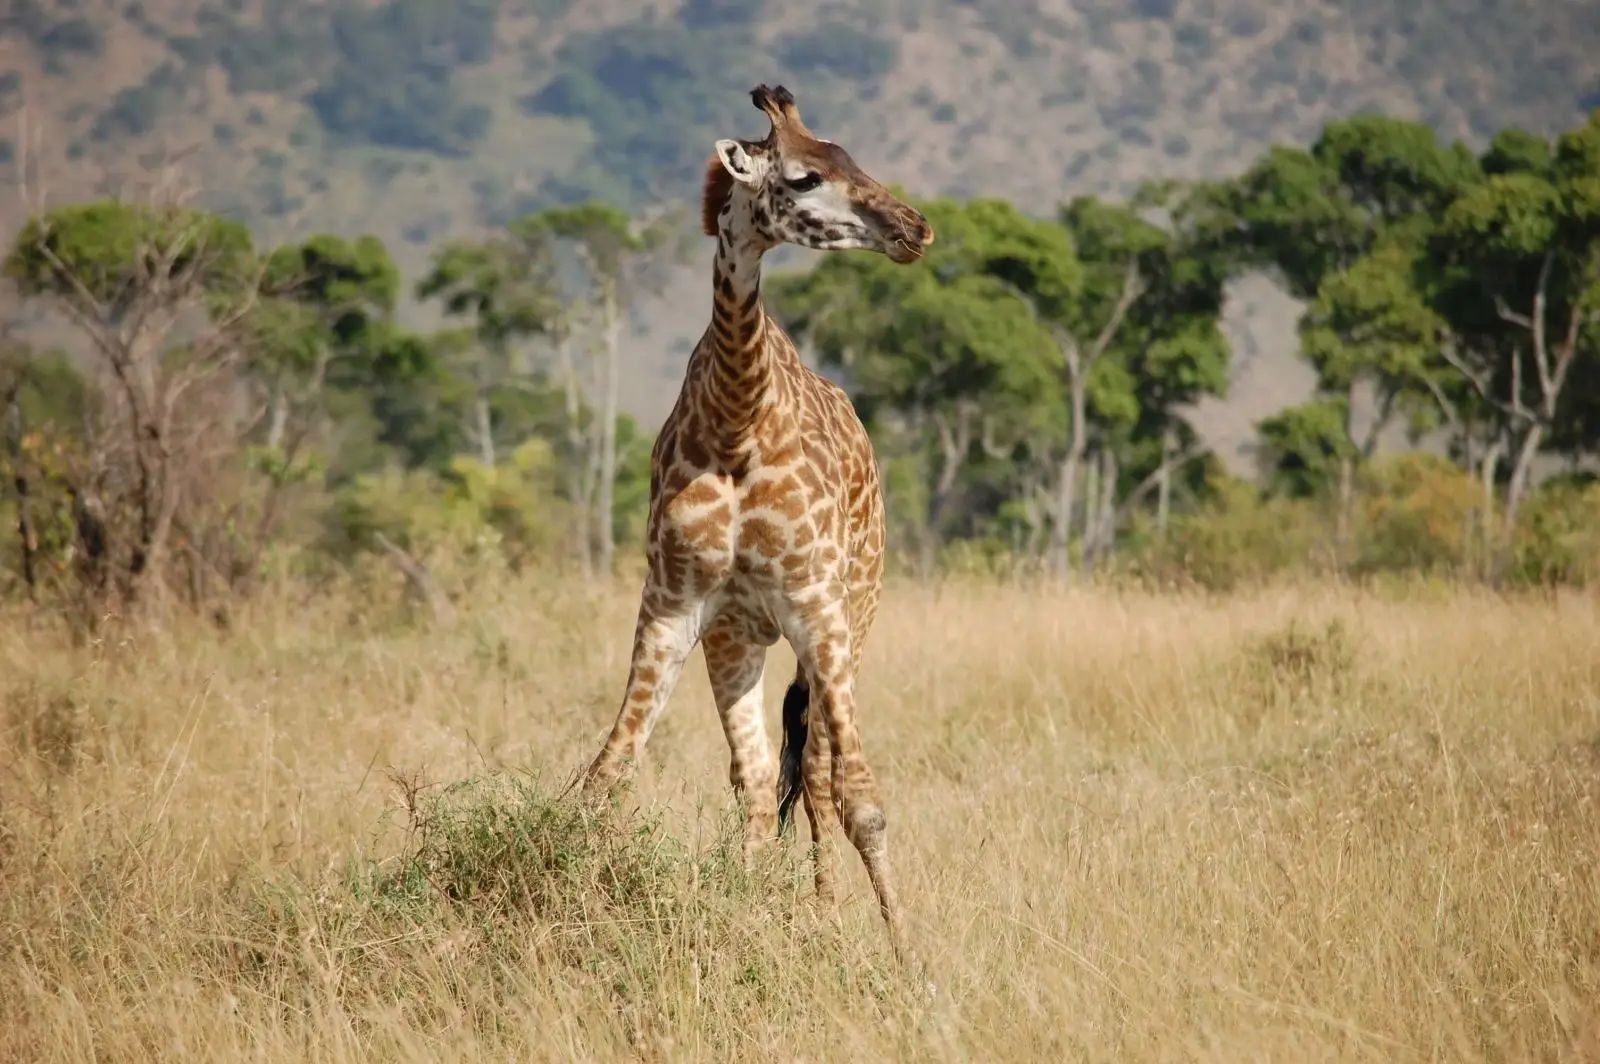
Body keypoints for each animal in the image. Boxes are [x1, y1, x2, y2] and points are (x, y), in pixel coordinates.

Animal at [582, 85, 933, 949]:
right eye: (805, 177)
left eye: (850, 157)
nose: (916, 229)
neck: (736, 419)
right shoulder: (676, 604)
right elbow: (612, 771)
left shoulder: (816, 606)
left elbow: (864, 800)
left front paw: (906, 951)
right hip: (741, 638)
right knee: (760, 777)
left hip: (853, 613)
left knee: (821, 774)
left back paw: (826, 909)